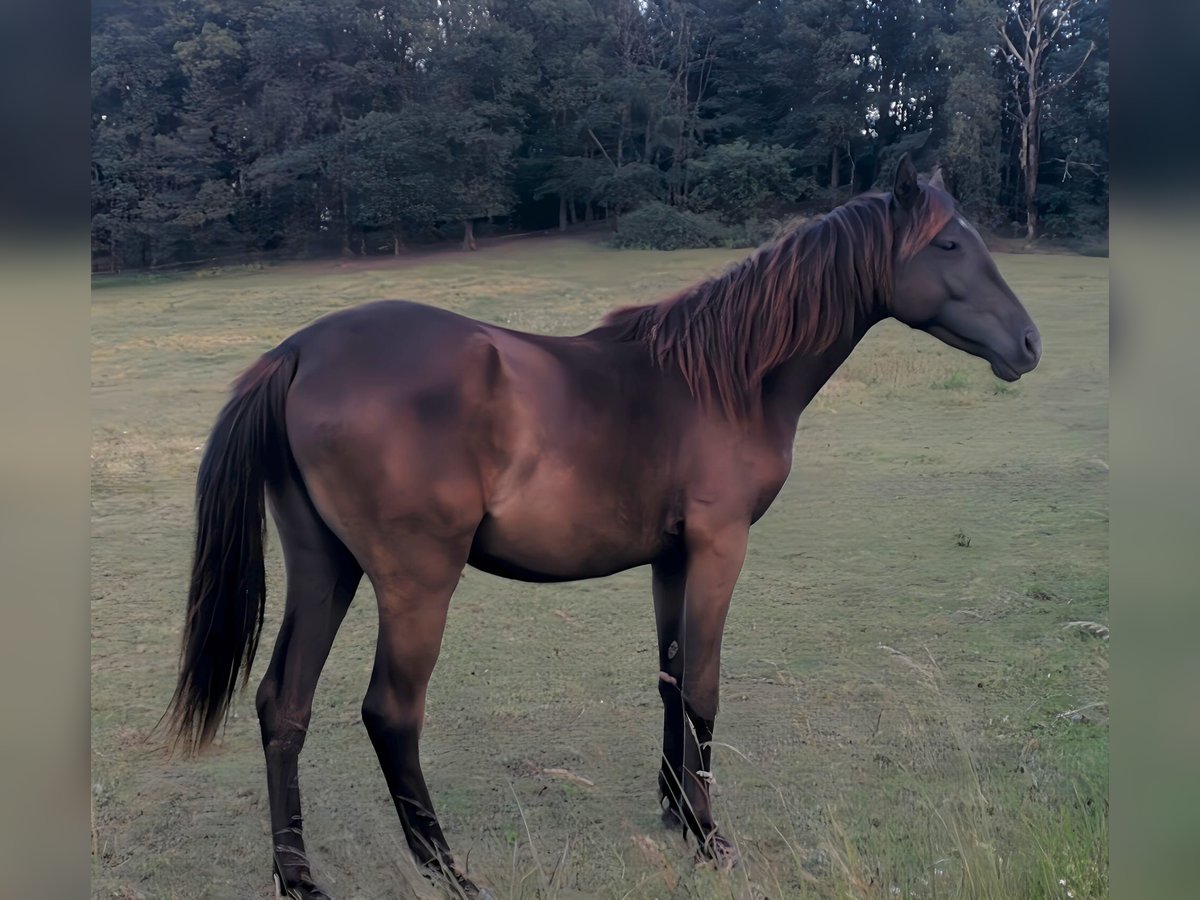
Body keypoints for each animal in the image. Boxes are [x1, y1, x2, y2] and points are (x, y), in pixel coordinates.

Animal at [166, 157, 1041, 900]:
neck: (724, 378)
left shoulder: (672, 558)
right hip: (416, 582)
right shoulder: (720, 545)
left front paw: (676, 811)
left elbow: (670, 677)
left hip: (326, 567)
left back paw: (299, 877)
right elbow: (705, 685)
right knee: (391, 713)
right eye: (951, 243)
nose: (1030, 344)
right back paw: (448, 869)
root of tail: (299, 351)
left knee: (284, 704)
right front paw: (711, 836)